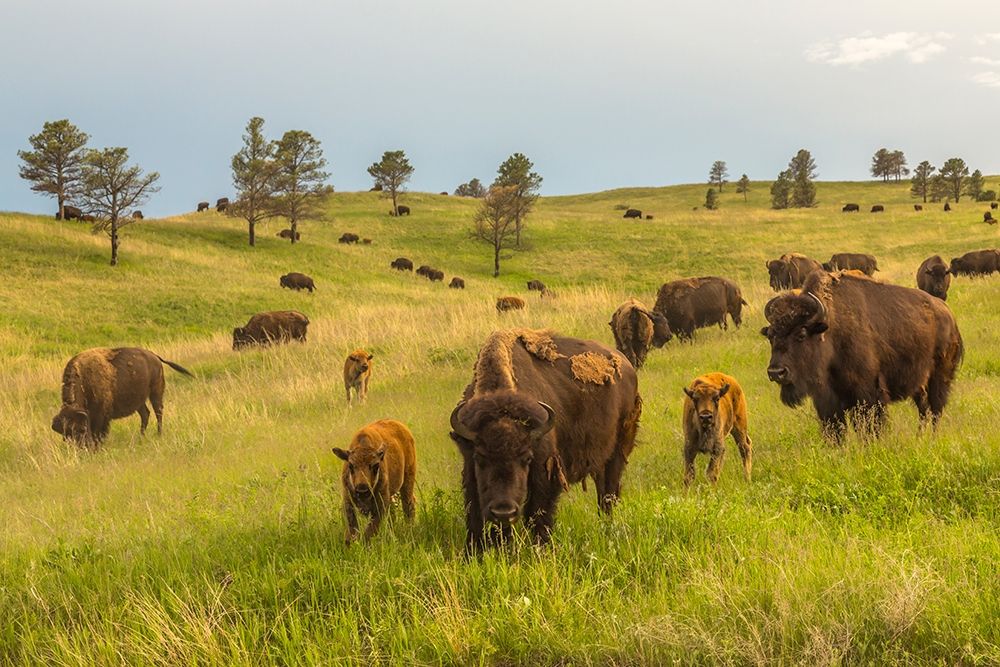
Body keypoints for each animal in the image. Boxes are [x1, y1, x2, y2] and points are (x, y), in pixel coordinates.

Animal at [51, 347, 193, 447]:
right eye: (66, 434)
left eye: (82, 429)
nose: (83, 448)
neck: (84, 380)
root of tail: (155, 357)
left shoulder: (101, 416)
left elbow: (100, 432)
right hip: (139, 401)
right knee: (145, 414)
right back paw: (141, 436)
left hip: (156, 393)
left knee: (158, 412)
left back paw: (158, 434)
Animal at [449, 329, 642, 551]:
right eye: (479, 458)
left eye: (526, 458)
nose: (504, 512)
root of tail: (627, 367)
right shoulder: (470, 472)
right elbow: (475, 514)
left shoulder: (546, 473)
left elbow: (539, 513)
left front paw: (540, 548)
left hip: (618, 453)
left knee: (608, 495)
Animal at [761, 271, 963, 441]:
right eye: (771, 336)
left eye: (801, 334)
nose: (776, 372)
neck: (831, 331)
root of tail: (949, 315)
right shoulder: (827, 401)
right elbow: (836, 432)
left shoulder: (869, 395)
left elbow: (868, 428)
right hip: (918, 385)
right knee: (924, 410)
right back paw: (919, 437)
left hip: (939, 378)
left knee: (935, 410)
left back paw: (931, 438)